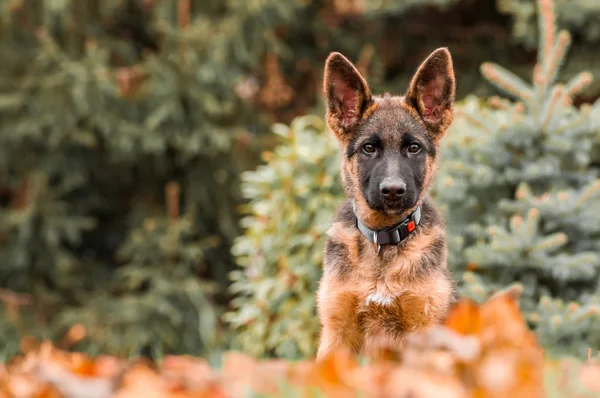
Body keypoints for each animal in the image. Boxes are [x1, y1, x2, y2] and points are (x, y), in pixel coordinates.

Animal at [316, 47, 458, 360]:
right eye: (369, 148)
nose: (393, 191)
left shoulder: (424, 328)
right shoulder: (336, 331)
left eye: (414, 148)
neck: (383, 243)